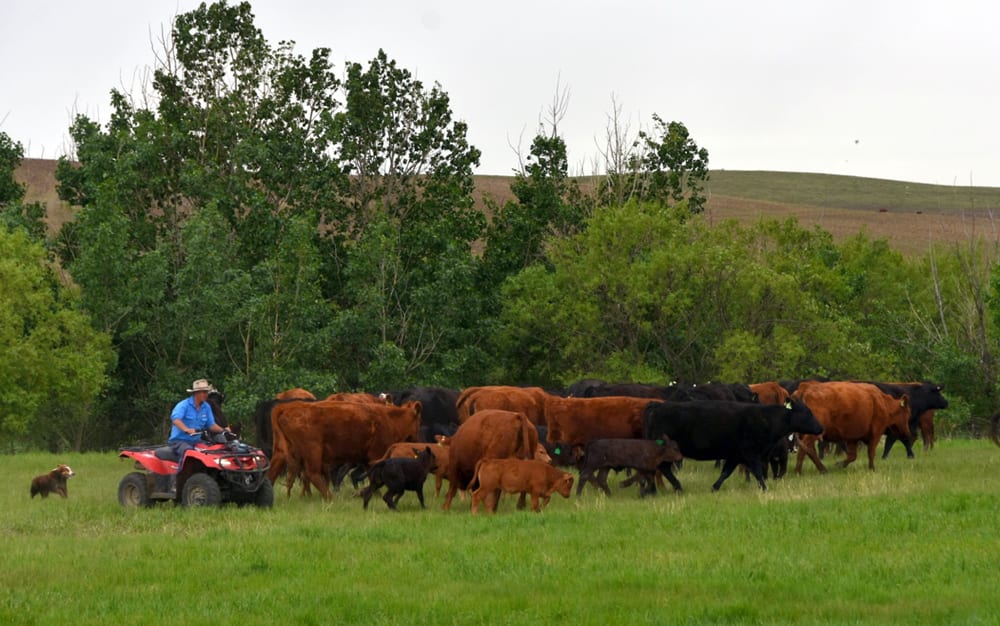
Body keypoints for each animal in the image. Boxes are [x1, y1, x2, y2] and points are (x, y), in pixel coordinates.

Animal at [643, 399, 824, 491]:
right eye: (808, 412)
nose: (821, 428)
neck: (767, 419)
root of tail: (658, 405)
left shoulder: (736, 455)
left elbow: (726, 472)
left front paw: (715, 487)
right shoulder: (751, 453)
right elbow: (758, 472)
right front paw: (764, 488)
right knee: (662, 468)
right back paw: (675, 487)